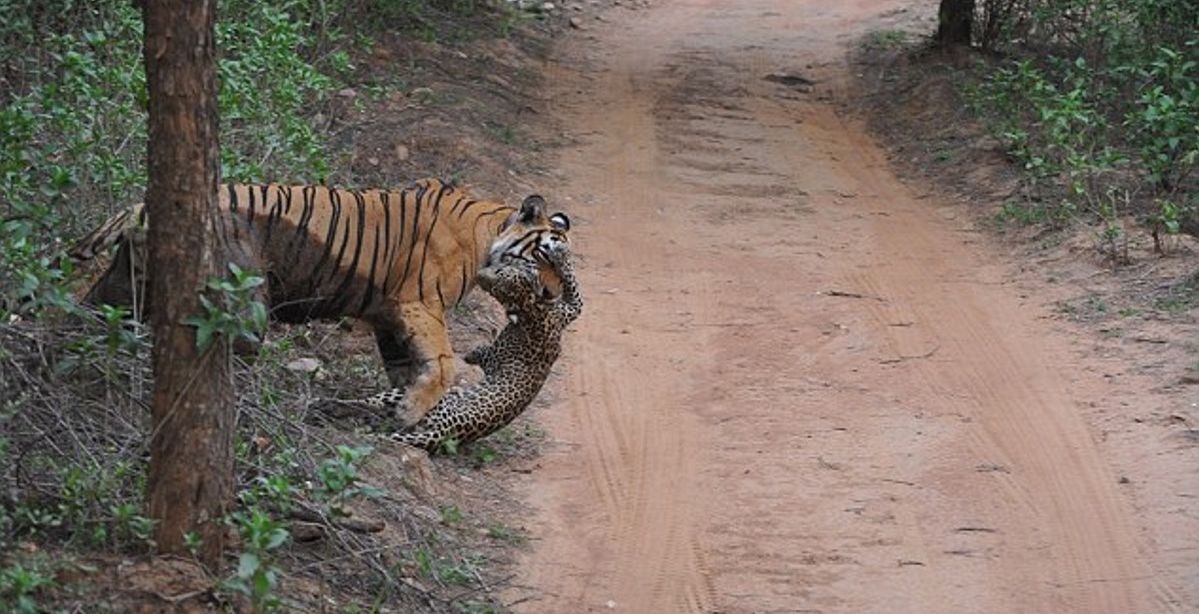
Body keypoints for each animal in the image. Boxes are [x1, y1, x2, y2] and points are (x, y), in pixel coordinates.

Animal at [72, 178, 573, 426]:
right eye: (543, 257)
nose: (551, 296)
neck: (487, 233)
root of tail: (138, 208)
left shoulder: (389, 319)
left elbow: (405, 370)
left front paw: (398, 410)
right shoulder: (418, 305)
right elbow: (445, 364)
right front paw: (412, 412)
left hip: (125, 288)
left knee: (91, 313)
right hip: (245, 302)